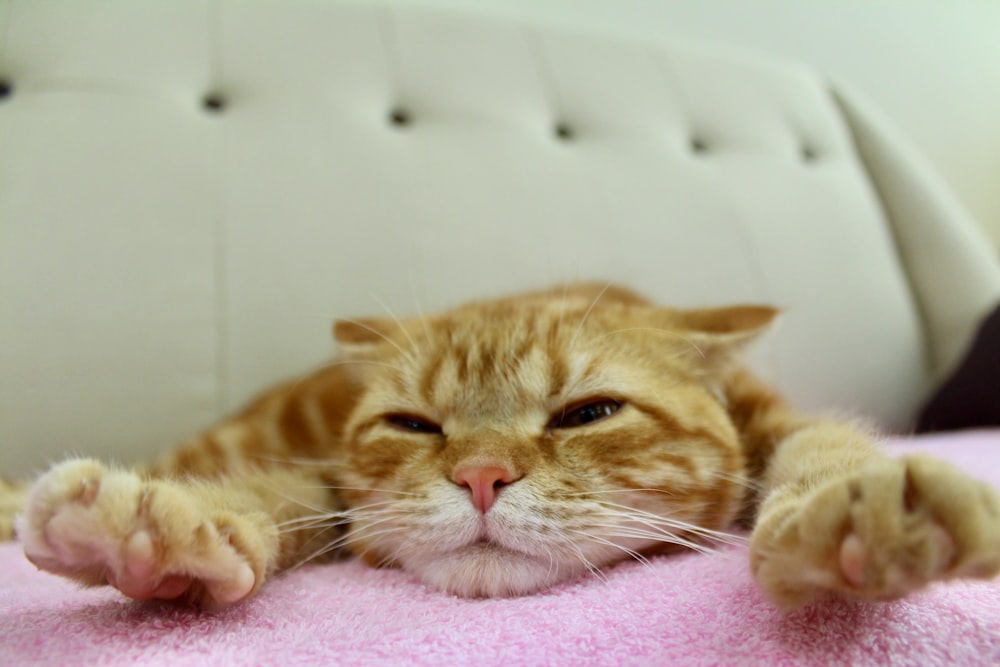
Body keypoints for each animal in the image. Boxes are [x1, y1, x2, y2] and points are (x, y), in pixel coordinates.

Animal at [5, 284, 1000, 608]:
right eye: (414, 424)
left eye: (588, 412)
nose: (480, 475)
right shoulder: (323, 479)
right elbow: (273, 494)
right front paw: (156, 533)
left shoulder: (777, 419)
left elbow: (825, 446)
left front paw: (858, 513)